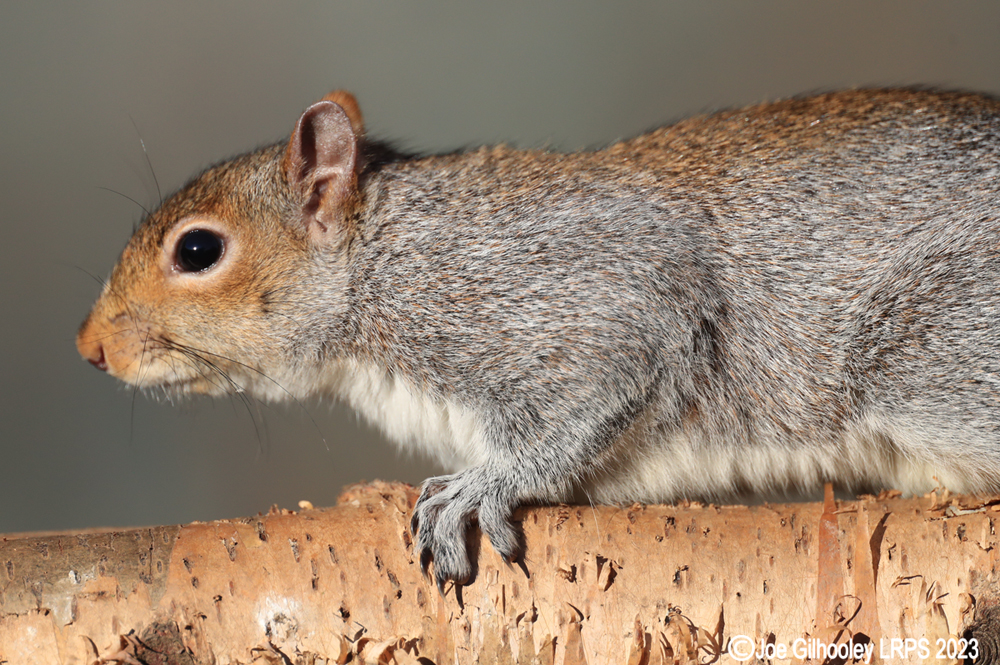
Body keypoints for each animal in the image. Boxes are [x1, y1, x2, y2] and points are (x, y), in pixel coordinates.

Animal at [78, 88, 1000, 589]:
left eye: (198, 250)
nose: (90, 347)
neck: (386, 259)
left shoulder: (575, 297)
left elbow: (599, 383)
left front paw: (481, 486)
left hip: (936, 354)